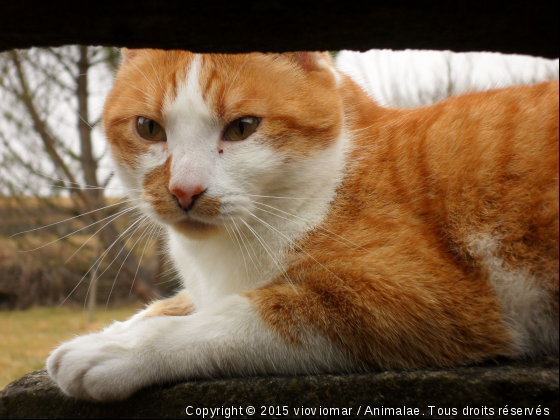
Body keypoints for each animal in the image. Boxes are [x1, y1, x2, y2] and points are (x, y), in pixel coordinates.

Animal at [46, 48, 556, 400]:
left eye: (242, 127)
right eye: (148, 128)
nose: (184, 191)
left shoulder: (426, 297)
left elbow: (237, 314)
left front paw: (115, 350)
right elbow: (173, 304)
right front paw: (113, 331)